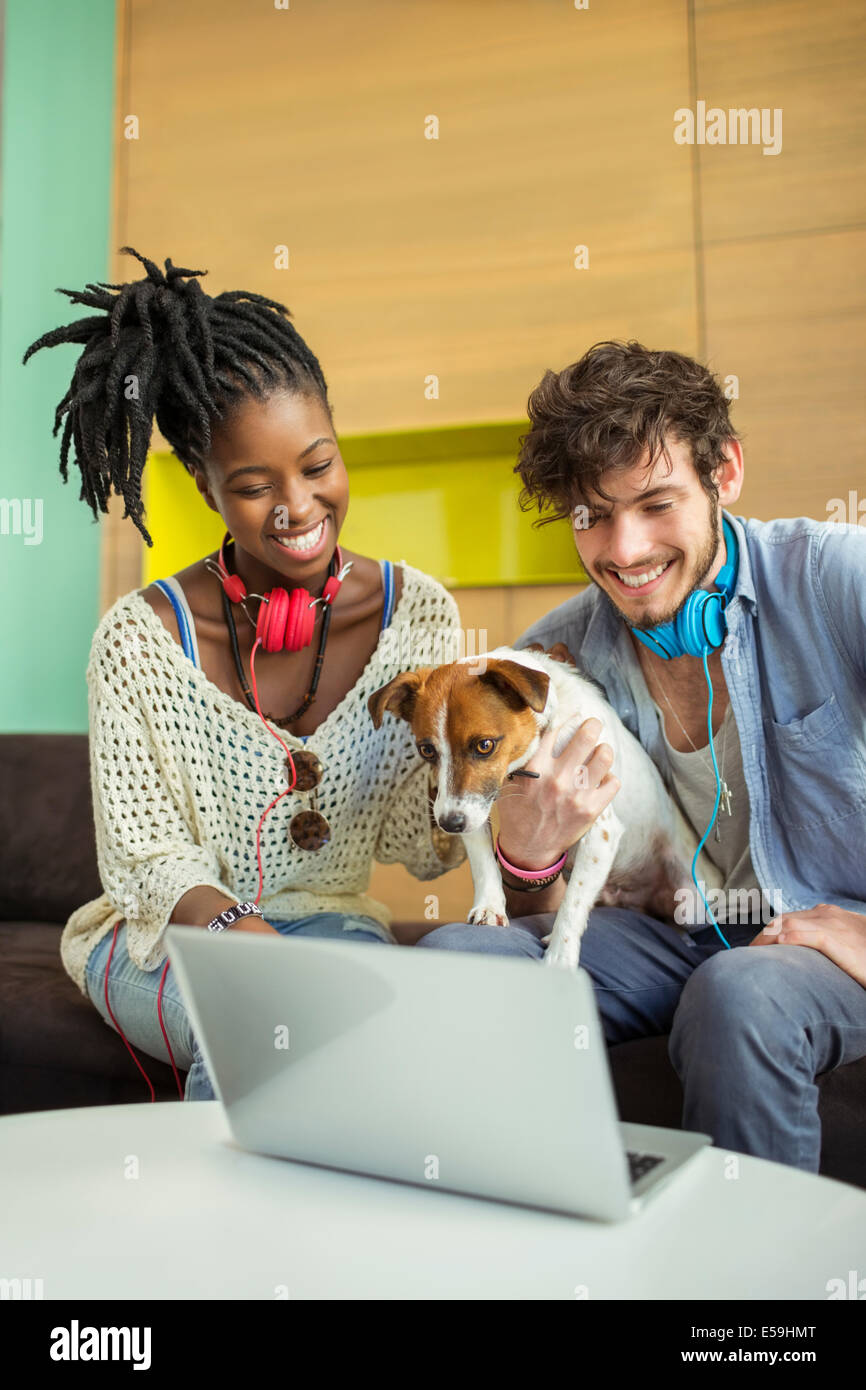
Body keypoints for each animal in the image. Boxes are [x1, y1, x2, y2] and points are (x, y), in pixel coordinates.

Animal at [366, 644, 722, 973]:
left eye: (485, 745)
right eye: (427, 750)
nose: (450, 825)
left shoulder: (601, 830)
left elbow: (573, 900)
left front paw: (561, 954)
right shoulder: (474, 806)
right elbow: (483, 862)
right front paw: (490, 906)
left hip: (694, 901)